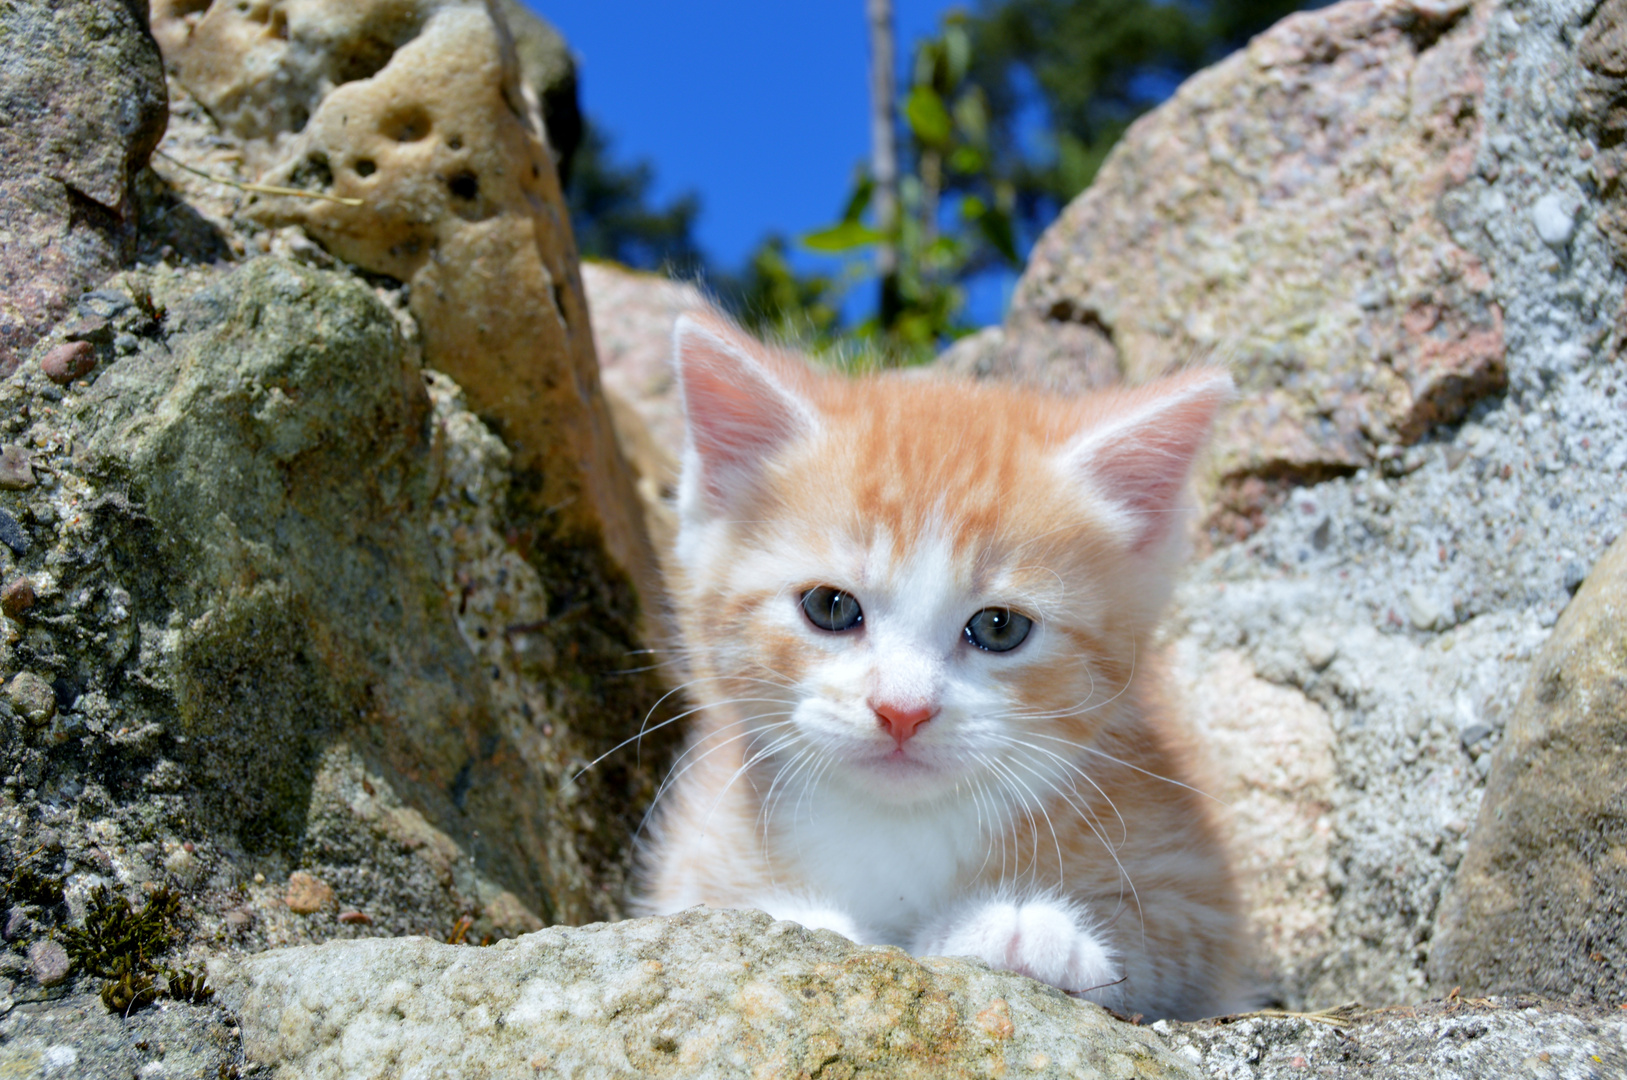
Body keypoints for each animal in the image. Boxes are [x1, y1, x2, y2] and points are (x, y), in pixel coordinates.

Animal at [634, 312, 1243, 1021]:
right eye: (831, 607)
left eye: (1000, 627)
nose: (903, 711)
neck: (897, 826)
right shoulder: (690, 854)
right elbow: (703, 910)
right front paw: (806, 922)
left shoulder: (1199, 893)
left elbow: (1170, 943)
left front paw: (1030, 932)